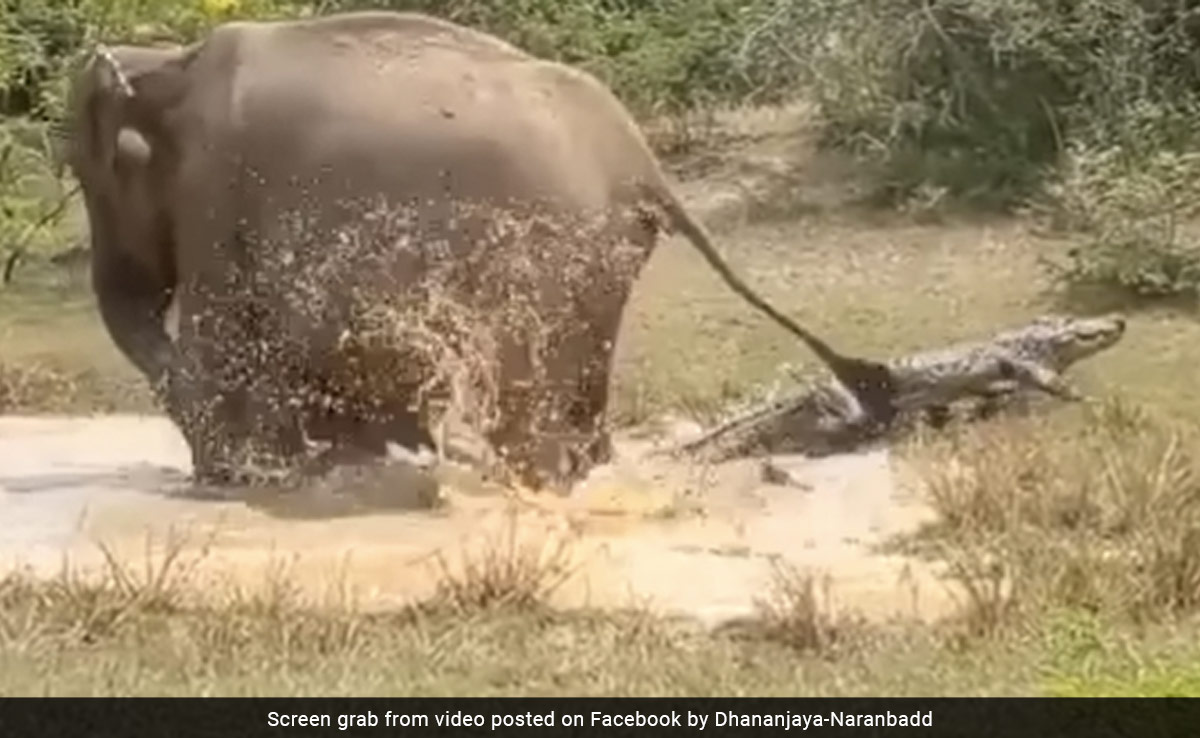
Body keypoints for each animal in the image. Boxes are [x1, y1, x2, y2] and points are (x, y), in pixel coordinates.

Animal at [63, 11, 895, 492]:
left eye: (92, 176)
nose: (210, 474)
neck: (167, 62)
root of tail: (645, 163)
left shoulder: (217, 193)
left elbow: (224, 337)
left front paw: (252, 476)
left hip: (552, 252)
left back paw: (522, 478)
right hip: (600, 261)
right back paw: (570, 472)